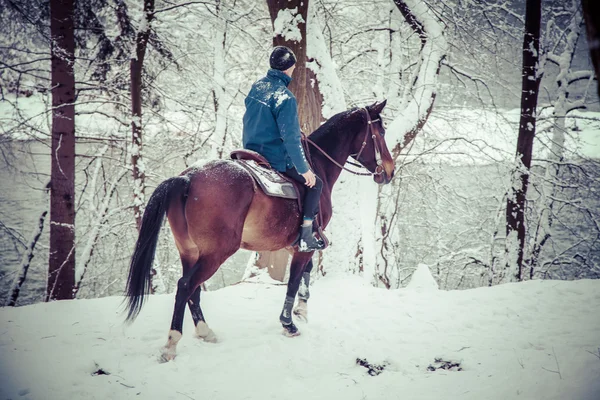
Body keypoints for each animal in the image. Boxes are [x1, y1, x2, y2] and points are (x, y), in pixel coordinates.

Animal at [125, 101, 396, 362]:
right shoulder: (304, 246)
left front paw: (301, 310)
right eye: (381, 131)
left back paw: (205, 331)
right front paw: (289, 324)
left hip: (189, 251)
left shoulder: (297, 244)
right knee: (185, 286)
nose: (390, 171)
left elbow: (305, 274)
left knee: (194, 290)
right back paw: (172, 343)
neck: (318, 165)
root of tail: (189, 177)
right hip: (216, 253)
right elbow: (294, 280)